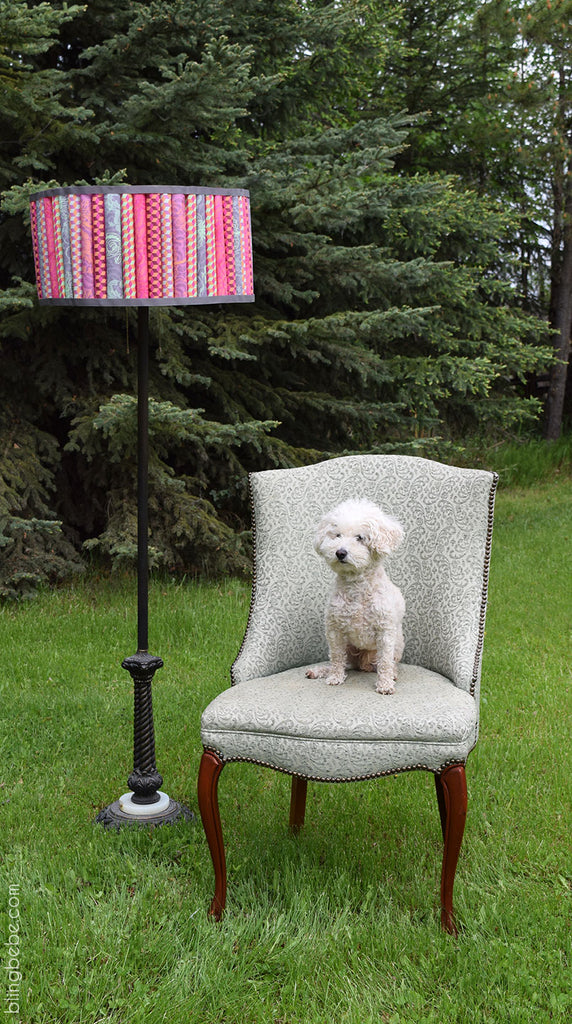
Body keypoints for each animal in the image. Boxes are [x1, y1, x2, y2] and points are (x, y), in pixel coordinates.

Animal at [306, 497, 405, 692]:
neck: (357, 586)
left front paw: (385, 684)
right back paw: (320, 671)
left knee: (387, 662)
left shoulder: (385, 630)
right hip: (349, 648)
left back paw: (393, 674)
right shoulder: (335, 629)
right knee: (343, 662)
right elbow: (336, 658)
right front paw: (335, 677)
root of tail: (363, 663)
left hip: (397, 642)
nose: (340, 552)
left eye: (360, 537)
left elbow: (384, 661)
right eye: (337, 535)